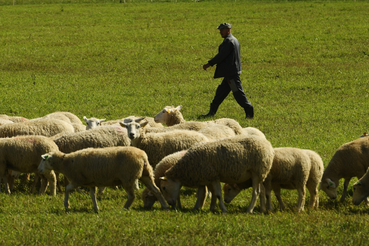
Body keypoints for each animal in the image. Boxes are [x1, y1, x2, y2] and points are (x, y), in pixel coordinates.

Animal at [37, 146, 170, 211]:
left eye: (43, 159)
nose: (38, 170)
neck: (66, 163)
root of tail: (143, 157)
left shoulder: (77, 180)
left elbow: (67, 189)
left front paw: (66, 205)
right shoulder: (91, 182)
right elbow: (92, 195)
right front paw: (96, 208)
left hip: (127, 177)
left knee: (132, 196)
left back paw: (124, 208)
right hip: (145, 175)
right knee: (156, 190)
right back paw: (165, 206)